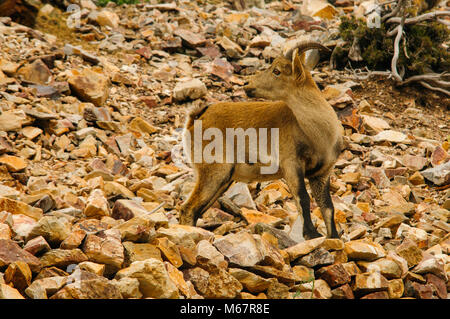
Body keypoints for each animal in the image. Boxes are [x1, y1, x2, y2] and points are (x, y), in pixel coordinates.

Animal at [178, 41, 342, 241]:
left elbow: (328, 207)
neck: (318, 133)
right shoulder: (291, 165)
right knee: (188, 209)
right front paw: (312, 234)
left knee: (195, 211)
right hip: (214, 171)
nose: (247, 84)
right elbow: (303, 198)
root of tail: (196, 118)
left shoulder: (322, 173)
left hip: (222, 180)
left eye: (277, 71)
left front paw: (334, 237)